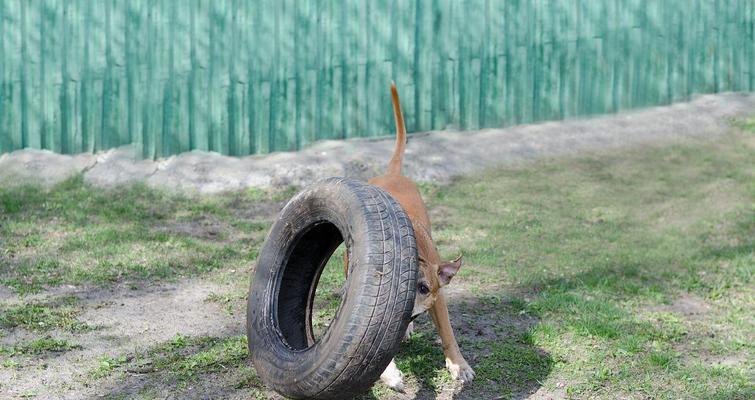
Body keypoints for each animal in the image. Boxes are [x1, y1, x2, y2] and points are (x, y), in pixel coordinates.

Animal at [354, 83, 472, 392]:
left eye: (422, 288)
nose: (401, 313)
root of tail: (391, 174)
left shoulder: (438, 297)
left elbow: (448, 333)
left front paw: (460, 366)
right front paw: (390, 374)